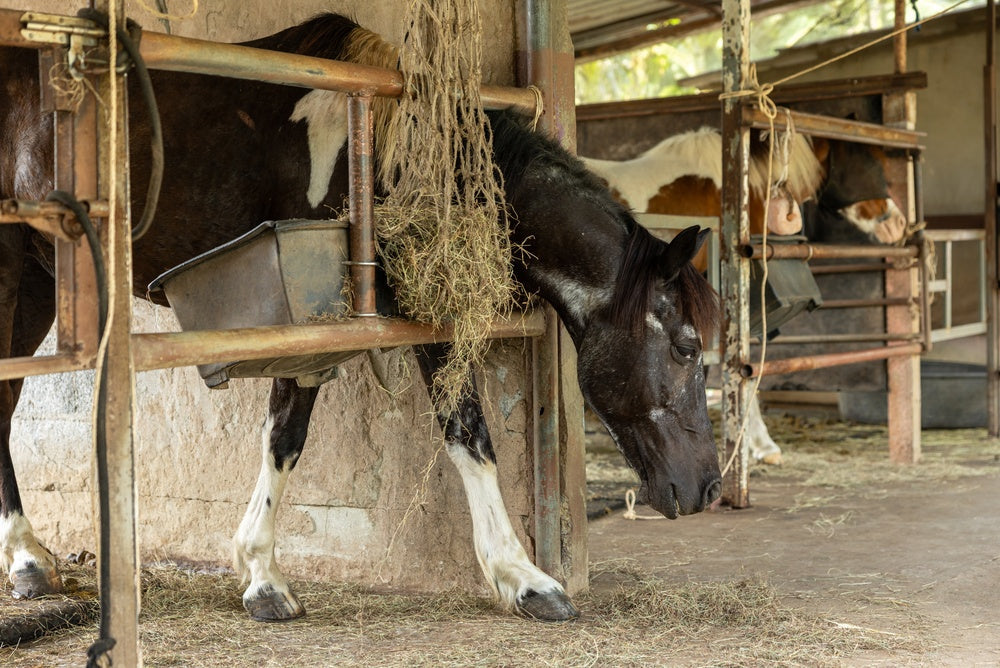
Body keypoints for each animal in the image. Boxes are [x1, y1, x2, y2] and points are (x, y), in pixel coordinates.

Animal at [0, 14, 721, 622]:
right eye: (687, 347)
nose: (709, 488)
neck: (388, 150)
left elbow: (329, 437)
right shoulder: (329, 318)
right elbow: (440, 436)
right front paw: (524, 578)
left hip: (38, 279)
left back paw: (29, 559)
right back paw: (29, 559)